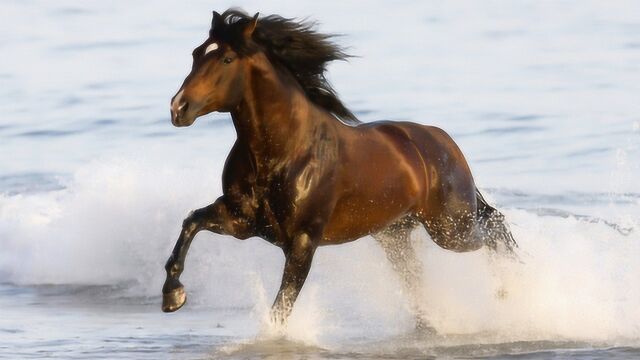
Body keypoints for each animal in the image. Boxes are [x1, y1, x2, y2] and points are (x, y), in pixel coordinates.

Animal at [161, 9, 516, 330]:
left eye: (226, 59)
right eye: (196, 54)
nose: (178, 108)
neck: (284, 152)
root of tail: (443, 141)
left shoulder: (303, 240)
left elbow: (282, 307)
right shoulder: (241, 220)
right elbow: (191, 222)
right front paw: (172, 296)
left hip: (451, 228)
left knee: (496, 227)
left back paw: (508, 291)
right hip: (395, 235)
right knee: (420, 274)